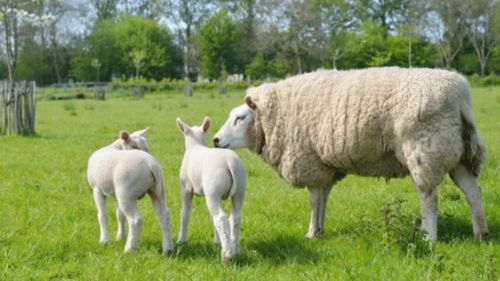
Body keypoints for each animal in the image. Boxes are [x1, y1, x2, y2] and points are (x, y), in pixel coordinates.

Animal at [176, 116, 246, 260]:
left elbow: (185, 213)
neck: (195, 145)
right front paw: (217, 241)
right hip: (238, 190)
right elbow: (210, 218)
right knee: (235, 219)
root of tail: (230, 162)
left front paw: (181, 240)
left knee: (220, 218)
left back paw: (227, 255)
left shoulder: (186, 189)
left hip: (213, 191)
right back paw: (235, 249)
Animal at [214, 66, 488, 242]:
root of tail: (461, 94)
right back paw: (480, 234)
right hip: (455, 153)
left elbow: (314, 200)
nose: (216, 140)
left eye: (240, 118)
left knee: (429, 197)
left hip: (425, 150)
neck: (274, 115)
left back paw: (429, 238)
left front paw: (311, 233)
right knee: (473, 191)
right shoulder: (324, 165)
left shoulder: (309, 162)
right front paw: (320, 229)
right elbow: (323, 199)